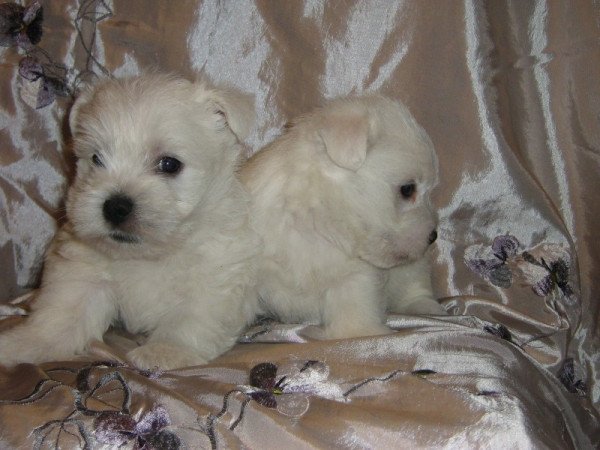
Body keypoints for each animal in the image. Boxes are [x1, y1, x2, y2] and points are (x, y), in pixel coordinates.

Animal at [0, 74, 260, 370]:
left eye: (170, 164)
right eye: (97, 158)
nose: (115, 207)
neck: (148, 255)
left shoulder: (216, 273)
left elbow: (192, 318)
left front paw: (164, 350)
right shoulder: (83, 277)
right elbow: (61, 317)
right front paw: (22, 344)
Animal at [240, 96, 446, 342]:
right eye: (407, 189)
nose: (433, 235)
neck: (313, 220)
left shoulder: (355, 277)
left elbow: (354, 309)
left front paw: (360, 333)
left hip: (410, 268)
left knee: (415, 285)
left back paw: (428, 308)